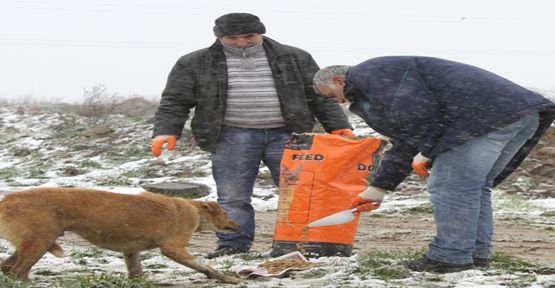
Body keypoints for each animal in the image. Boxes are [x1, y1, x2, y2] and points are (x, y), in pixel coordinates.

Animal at [0, 187, 243, 284]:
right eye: (226, 213)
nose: (238, 225)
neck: (193, 210)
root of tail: (6, 201)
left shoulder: (131, 251)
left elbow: (136, 272)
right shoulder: (173, 249)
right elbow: (206, 267)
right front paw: (229, 279)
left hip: (38, 242)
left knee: (7, 268)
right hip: (40, 242)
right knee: (18, 271)